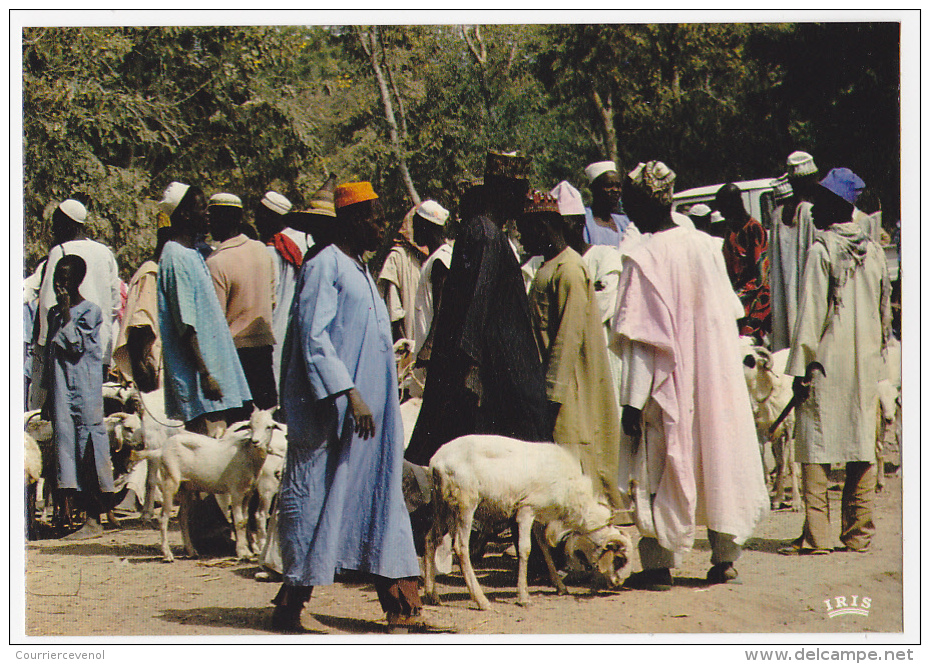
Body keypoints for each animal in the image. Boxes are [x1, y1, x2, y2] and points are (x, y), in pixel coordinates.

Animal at [138, 408, 276, 564]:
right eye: (251, 426)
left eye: (269, 426)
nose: (255, 441)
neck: (247, 455)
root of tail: (162, 449)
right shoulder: (236, 491)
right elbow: (239, 521)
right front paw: (243, 552)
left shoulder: (248, 493)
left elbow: (245, 521)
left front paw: (248, 550)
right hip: (170, 480)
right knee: (163, 517)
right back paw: (167, 555)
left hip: (186, 488)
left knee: (182, 517)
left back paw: (191, 551)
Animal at [422, 436, 632, 612]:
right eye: (620, 558)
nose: (618, 583)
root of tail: (436, 461)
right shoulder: (526, 509)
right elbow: (525, 549)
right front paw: (523, 597)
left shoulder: (539, 515)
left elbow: (544, 548)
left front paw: (560, 586)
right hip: (465, 503)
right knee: (460, 547)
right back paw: (481, 600)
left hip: (442, 504)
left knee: (431, 539)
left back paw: (432, 594)